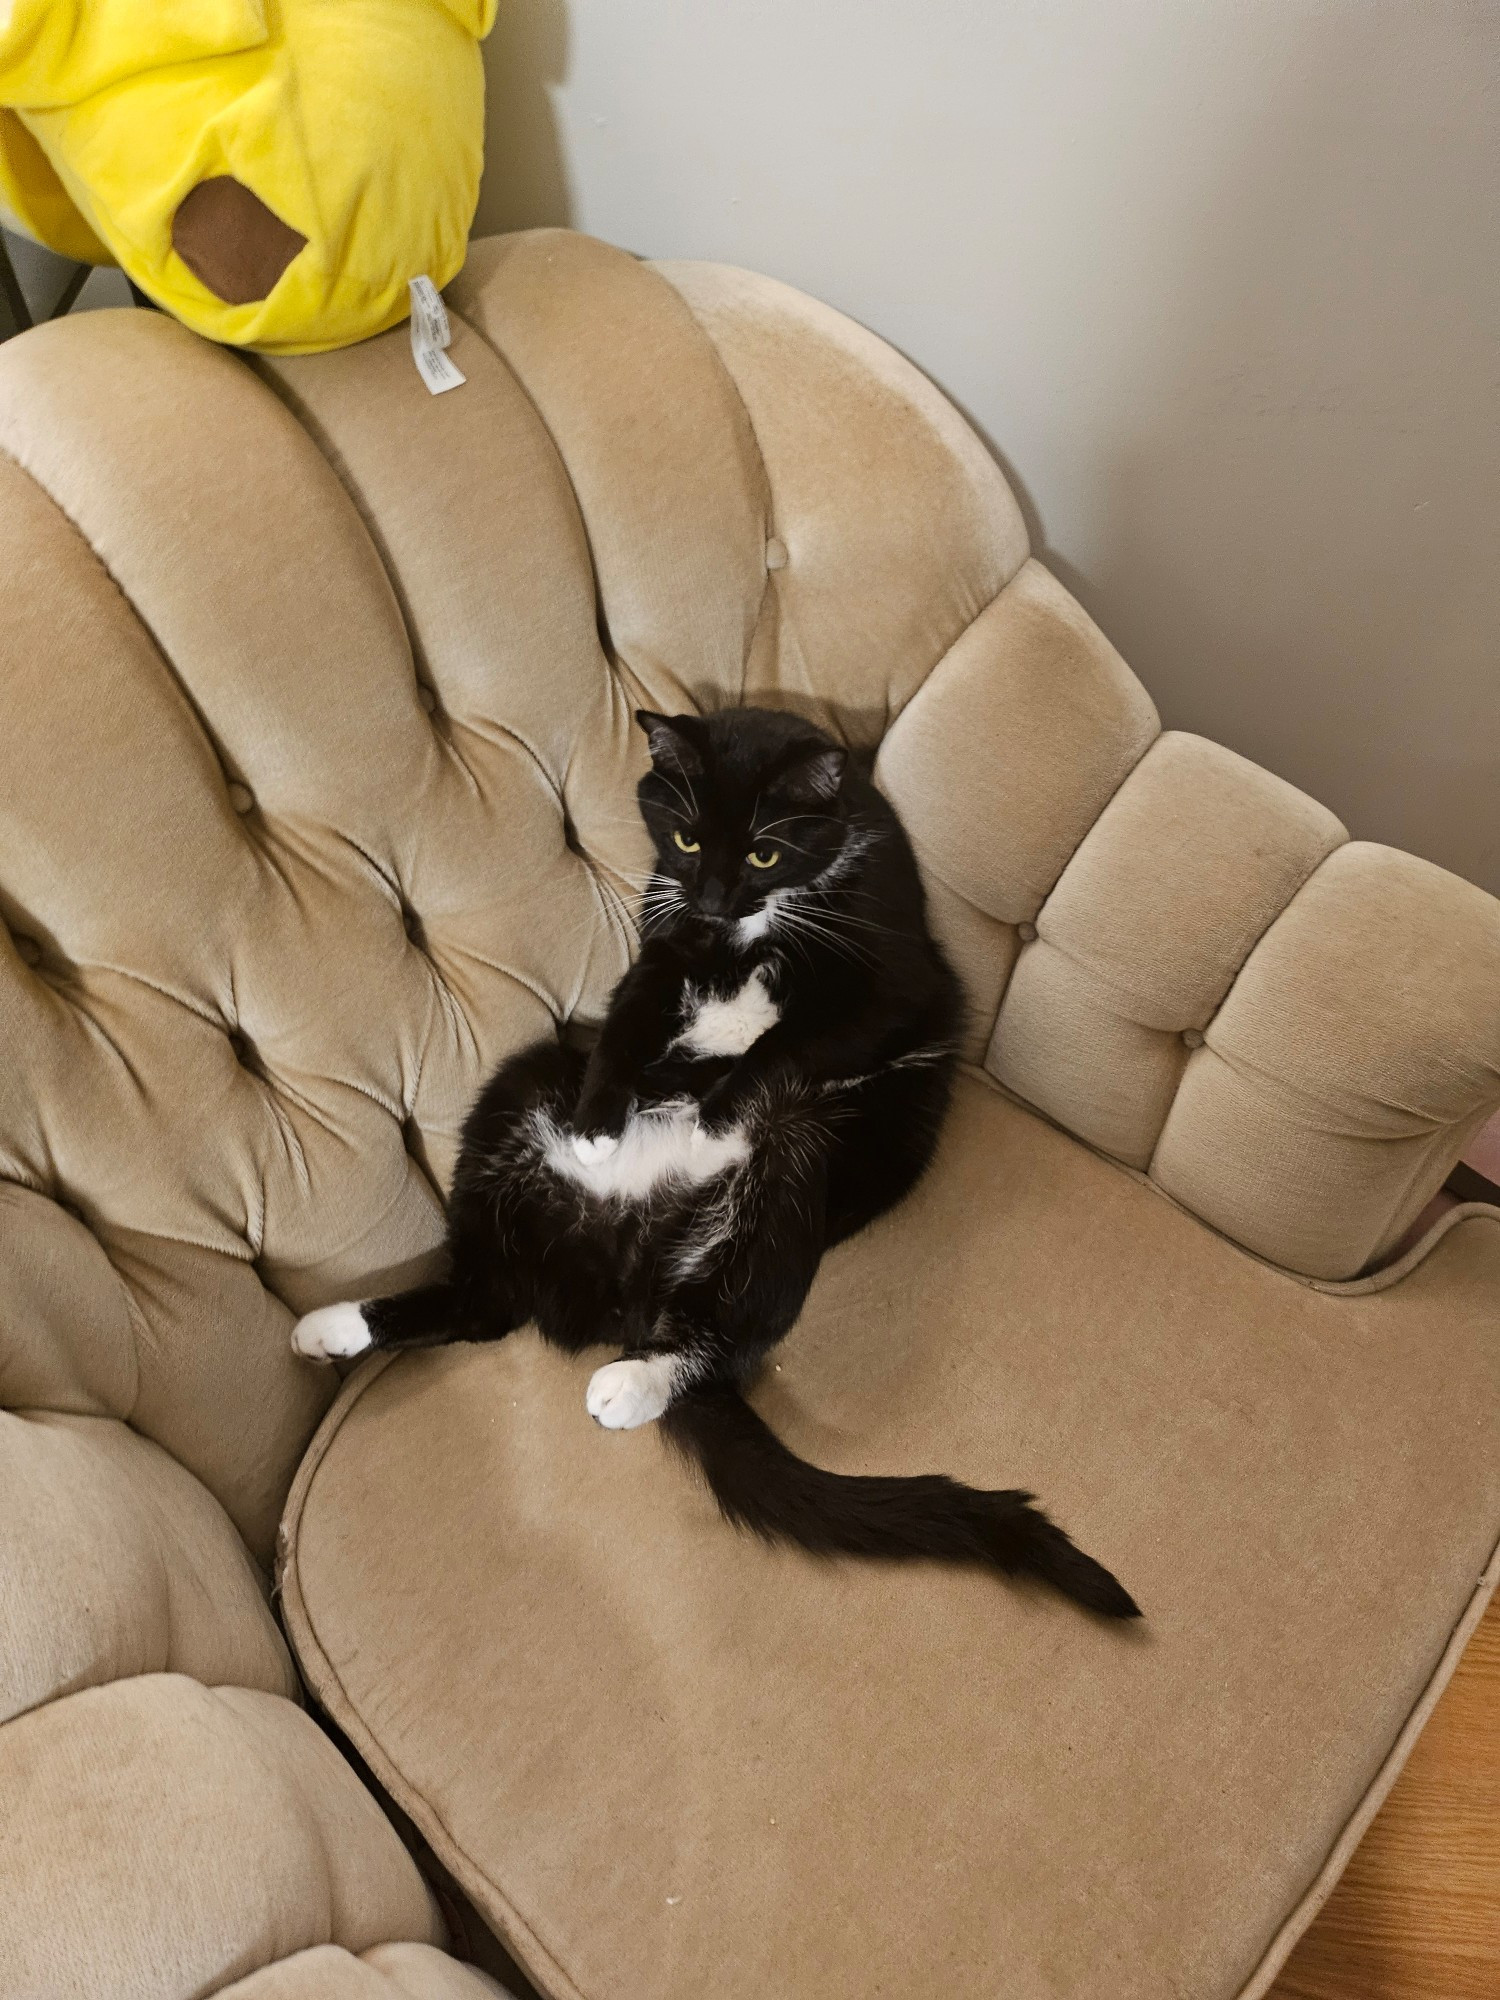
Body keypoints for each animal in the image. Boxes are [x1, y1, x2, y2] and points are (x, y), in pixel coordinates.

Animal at [290, 712, 1136, 1616]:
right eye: (689, 838)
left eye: (764, 854)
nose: (715, 897)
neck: (747, 934)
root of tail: (623, 1280)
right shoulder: (662, 941)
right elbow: (628, 1017)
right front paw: (600, 1122)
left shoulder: (892, 979)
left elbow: (787, 1042)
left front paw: (716, 1115)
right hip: (522, 1090)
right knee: (485, 1299)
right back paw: (326, 1328)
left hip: (790, 1169)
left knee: (719, 1336)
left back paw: (629, 1386)